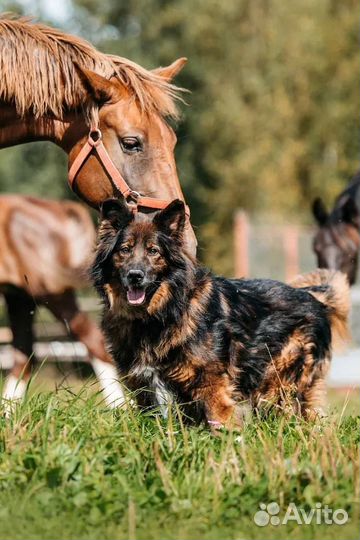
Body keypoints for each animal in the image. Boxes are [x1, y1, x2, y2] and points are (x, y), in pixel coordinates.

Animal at [0, 196, 125, 408]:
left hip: (50, 292)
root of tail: (58, 207)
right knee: (23, 355)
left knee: (94, 340)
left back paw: (122, 409)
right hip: (21, 297)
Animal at [91, 198, 350, 430]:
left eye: (153, 251)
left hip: (278, 386)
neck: (158, 315)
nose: (135, 276)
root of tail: (312, 297)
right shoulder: (144, 387)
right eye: (125, 250)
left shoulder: (211, 384)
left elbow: (221, 423)